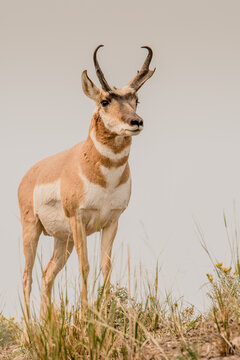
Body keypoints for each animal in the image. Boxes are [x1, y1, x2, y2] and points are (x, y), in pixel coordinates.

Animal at [17, 45, 156, 320]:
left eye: (136, 100)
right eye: (105, 101)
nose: (136, 121)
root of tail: (30, 174)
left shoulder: (112, 221)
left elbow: (105, 266)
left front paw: (105, 313)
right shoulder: (78, 218)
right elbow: (85, 266)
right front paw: (85, 314)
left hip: (63, 239)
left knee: (47, 275)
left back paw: (46, 324)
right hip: (32, 229)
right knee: (27, 276)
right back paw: (29, 328)